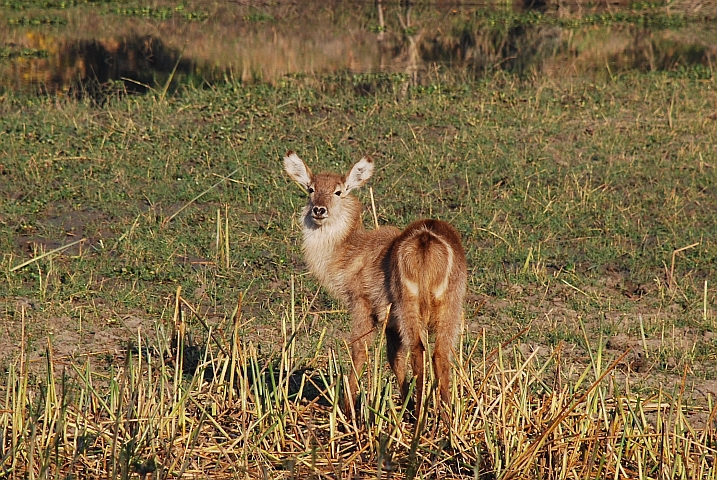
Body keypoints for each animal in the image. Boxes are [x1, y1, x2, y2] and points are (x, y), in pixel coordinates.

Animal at [282, 152, 468, 418]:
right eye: (311, 189)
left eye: (338, 191)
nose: (318, 209)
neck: (346, 253)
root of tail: (426, 240)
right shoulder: (390, 322)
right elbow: (394, 358)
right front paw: (405, 403)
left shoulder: (362, 303)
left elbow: (360, 349)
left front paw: (348, 408)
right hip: (451, 303)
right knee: (441, 353)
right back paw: (446, 417)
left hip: (408, 303)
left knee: (419, 350)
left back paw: (422, 415)